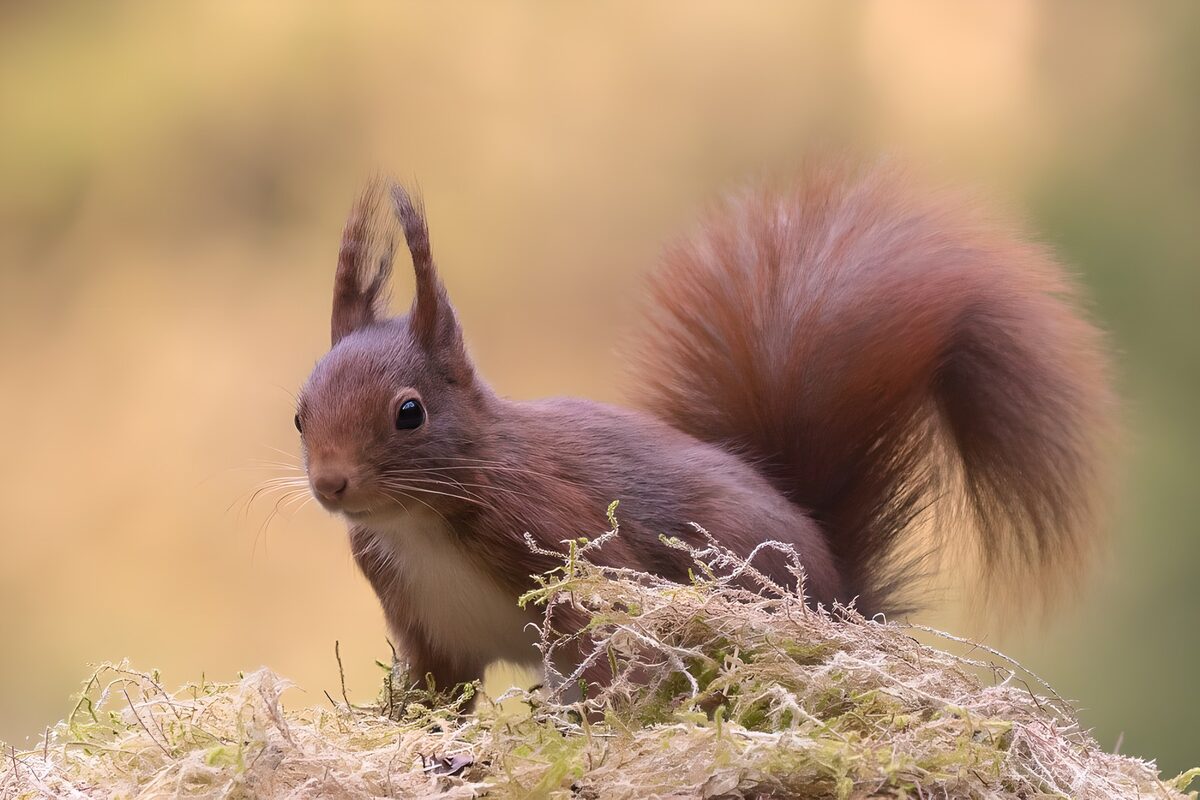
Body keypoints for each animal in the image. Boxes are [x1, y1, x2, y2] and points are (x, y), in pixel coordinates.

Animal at [294, 159, 1114, 691]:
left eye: (409, 413)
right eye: (299, 414)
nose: (331, 484)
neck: (420, 524)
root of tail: (844, 601)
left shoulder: (564, 541)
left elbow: (609, 655)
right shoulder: (428, 630)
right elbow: (435, 695)